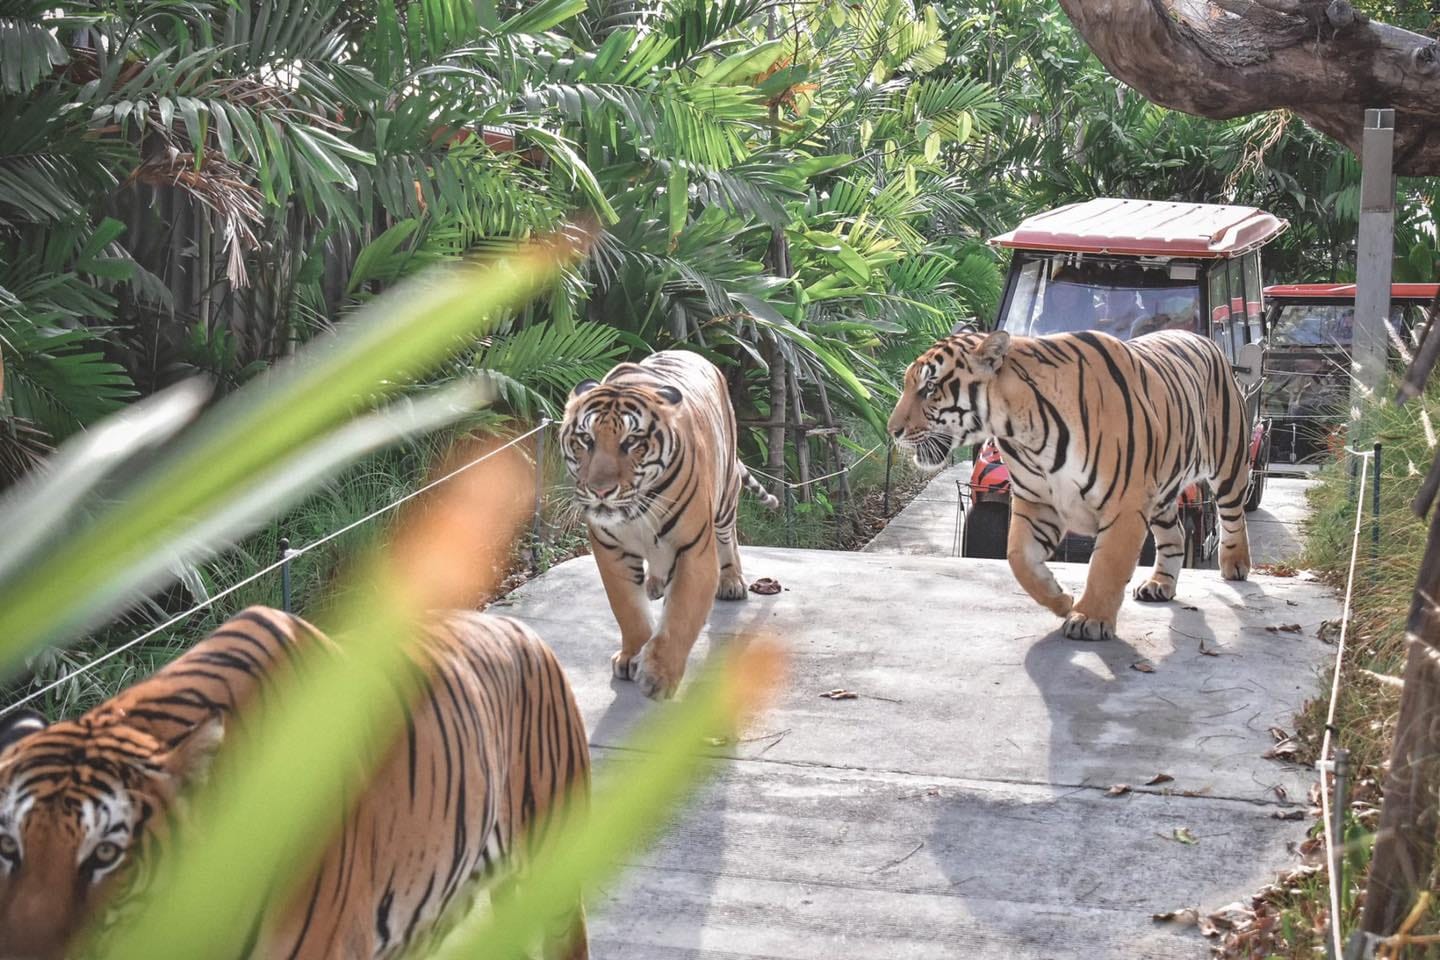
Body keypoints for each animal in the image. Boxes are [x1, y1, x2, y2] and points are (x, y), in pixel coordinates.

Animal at [561, 350, 778, 701]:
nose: (600, 491)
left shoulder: (694, 550)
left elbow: (680, 616)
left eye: (631, 442)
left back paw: (731, 582)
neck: (636, 510)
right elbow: (628, 609)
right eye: (586, 440)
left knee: (728, 538)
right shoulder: (610, 550)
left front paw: (658, 676)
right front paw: (632, 655)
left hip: (724, 499)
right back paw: (654, 584)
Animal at [888, 329, 1252, 641]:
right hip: (1161, 491)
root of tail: (1203, 337)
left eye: (930, 388)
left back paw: (1236, 566)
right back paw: (1159, 585)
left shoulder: (1125, 503)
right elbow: (1018, 557)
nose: (892, 430)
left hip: (1228, 461)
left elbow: (1107, 564)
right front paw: (1061, 599)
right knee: (1174, 534)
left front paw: (1090, 618)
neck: (1018, 428)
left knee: (1233, 515)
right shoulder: (1037, 501)